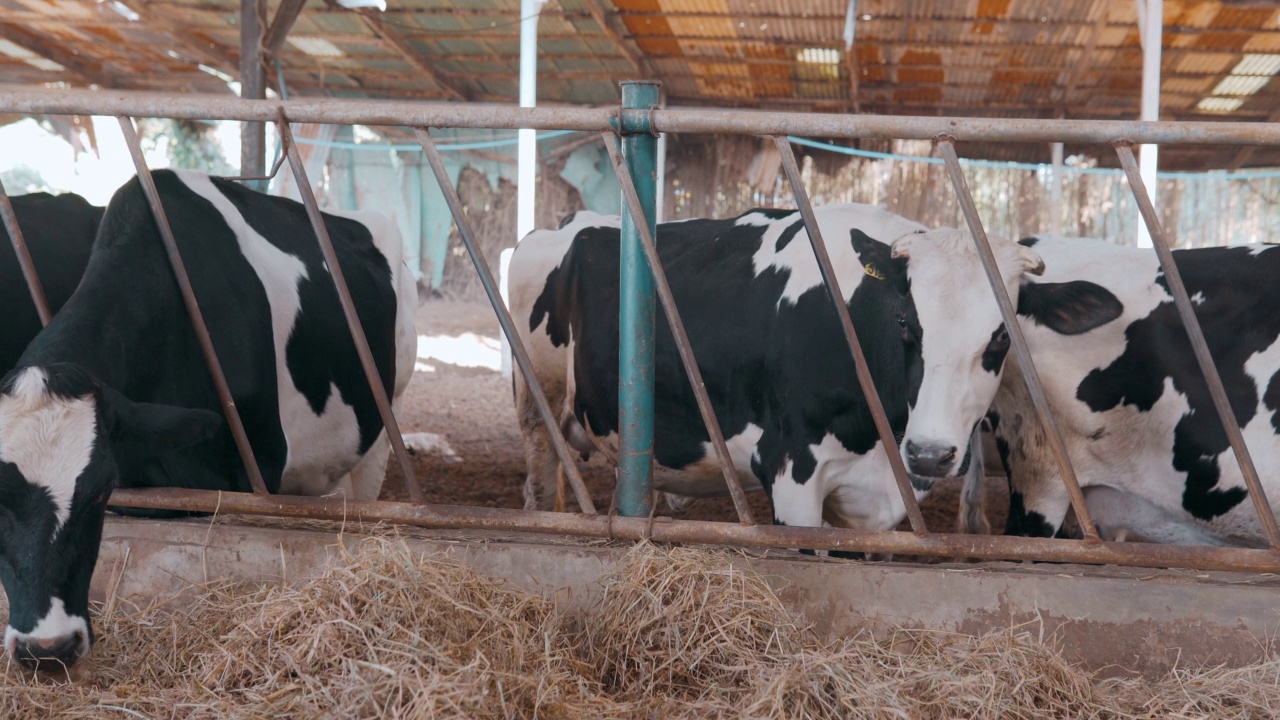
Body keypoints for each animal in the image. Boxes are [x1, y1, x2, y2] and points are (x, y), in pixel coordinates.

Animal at [504, 202, 983, 532]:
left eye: (994, 339)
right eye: (904, 322)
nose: (931, 453)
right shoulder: (792, 469)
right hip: (539, 404)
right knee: (539, 487)